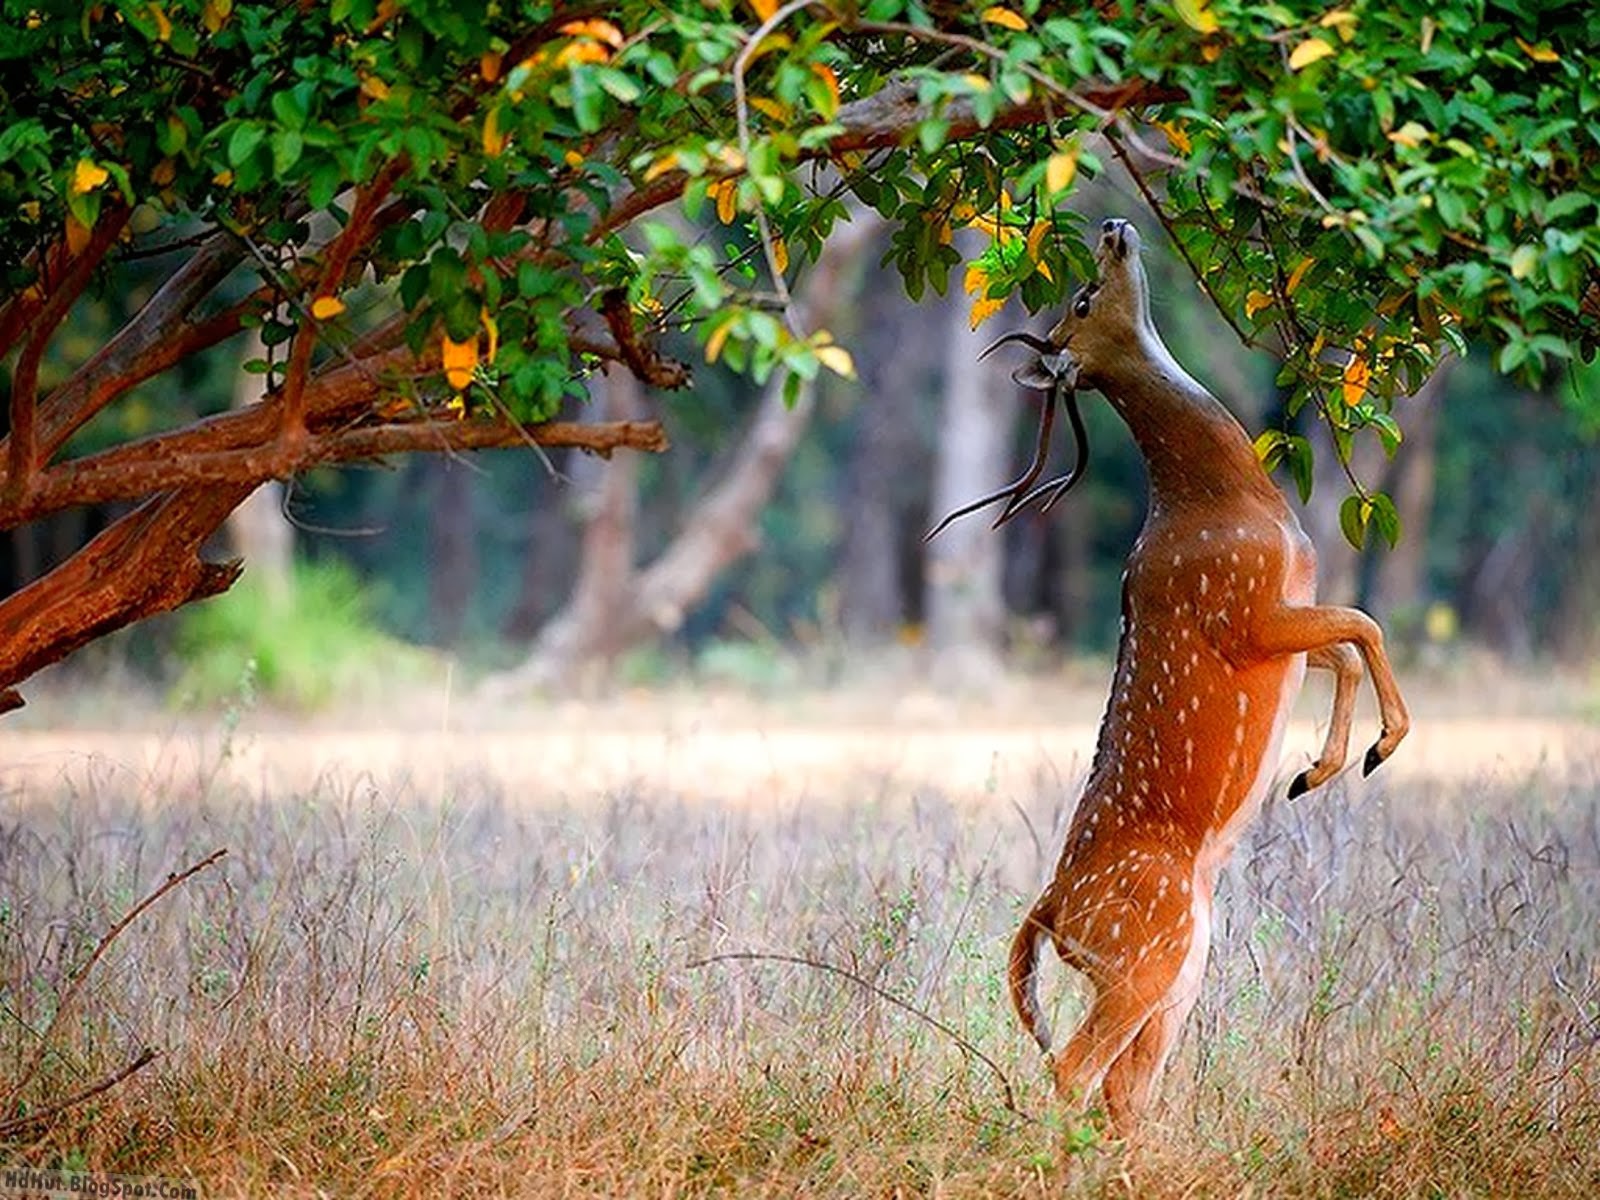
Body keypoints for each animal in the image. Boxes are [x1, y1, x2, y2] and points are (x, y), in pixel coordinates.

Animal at [932, 217, 1410, 1138]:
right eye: (1084, 297)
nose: (1114, 228)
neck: (1229, 503)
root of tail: (1051, 911)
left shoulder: (1285, 613)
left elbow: (1344, 643)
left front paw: (1318, 768)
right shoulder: (1244, 610)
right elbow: (1364, 622)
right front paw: (1376, 750)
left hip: (1179, 968)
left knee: (1126, 1086)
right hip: (1141, 954)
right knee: (1073, 1069)